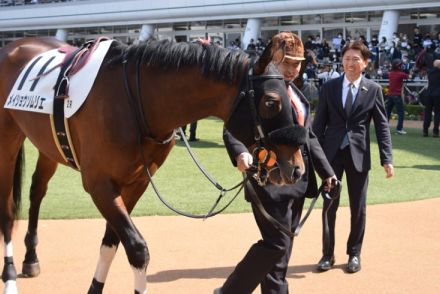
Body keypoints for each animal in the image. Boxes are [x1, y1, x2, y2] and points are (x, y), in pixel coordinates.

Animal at [0, 37, 306, 294]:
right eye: (271, 102)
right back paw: (10, 274)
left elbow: (111, 242)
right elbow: (137, 249)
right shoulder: (99, 184)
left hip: (48, 145)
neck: (134, 100)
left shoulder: (136, 182)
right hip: (7, 142)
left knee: (37, 192)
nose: (297, 168)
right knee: (8, 209)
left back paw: (30, 258)